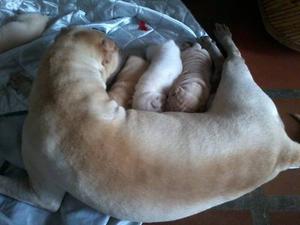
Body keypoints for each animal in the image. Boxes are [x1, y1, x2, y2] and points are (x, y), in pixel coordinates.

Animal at [0, 25, 300, 223]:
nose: (118, 43)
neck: (61, 88)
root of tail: (284, 146)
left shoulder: (42, 194)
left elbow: (10, 180)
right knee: (218, 67)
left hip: (238, 82)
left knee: (233, 57)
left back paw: (218, 36)